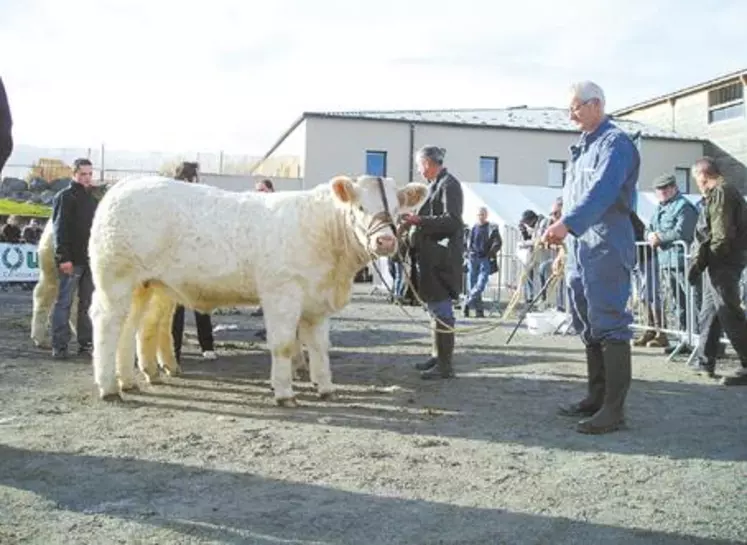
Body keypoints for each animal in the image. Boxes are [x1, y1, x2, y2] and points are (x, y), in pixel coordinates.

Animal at [87, 174, 426, 404]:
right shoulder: (282, 293)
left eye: (398, 209)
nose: (385, 241)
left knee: (131, 327)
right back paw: (109, 387)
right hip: (115, 279)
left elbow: (319, 347)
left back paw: (128, 380)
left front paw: (325, 387)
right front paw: (285, 392)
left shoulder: (317, 301)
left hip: (143, 285)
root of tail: (124, 184)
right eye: (360, 206)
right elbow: (284, 345)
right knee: (107, 324)